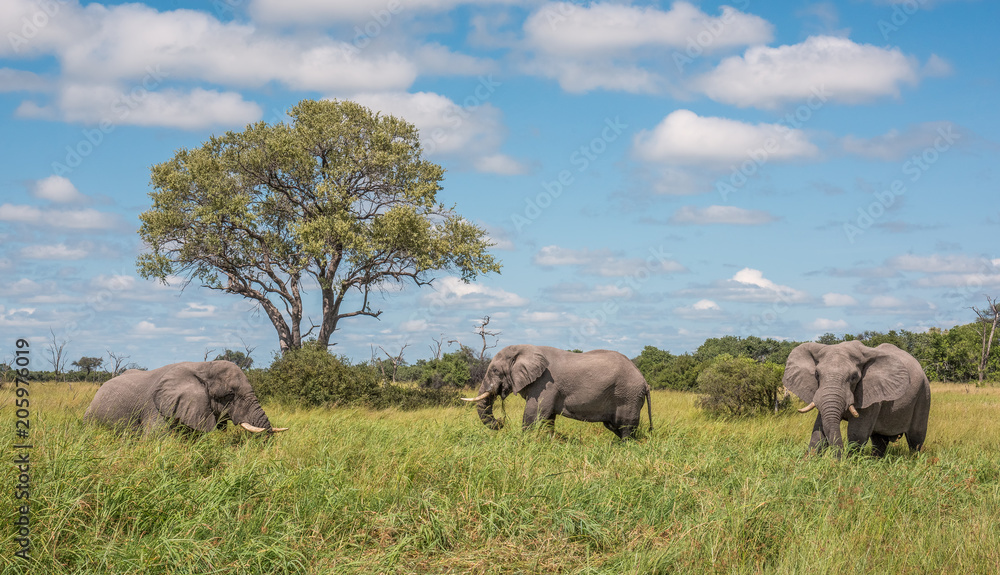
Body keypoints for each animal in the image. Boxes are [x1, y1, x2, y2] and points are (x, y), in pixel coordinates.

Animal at [464, 344, 652, 438]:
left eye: (495, 371)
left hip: (627, 395)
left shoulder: (546, 383)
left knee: (626, 427)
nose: (501, 421)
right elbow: (548, 418)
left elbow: (534, 413)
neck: (526, 349)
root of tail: (645, 382)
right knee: (615, 426)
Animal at [784, 342, 932, 460]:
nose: (836, 460)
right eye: (817, 374)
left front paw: (848, 464)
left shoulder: (871, 395)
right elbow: (819, 429)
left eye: (854, 377)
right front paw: (809, 461)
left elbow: (857, 433)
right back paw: (875, 461)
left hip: (924, 394)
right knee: (879, 440)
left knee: (916, 439)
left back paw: (913, 461)